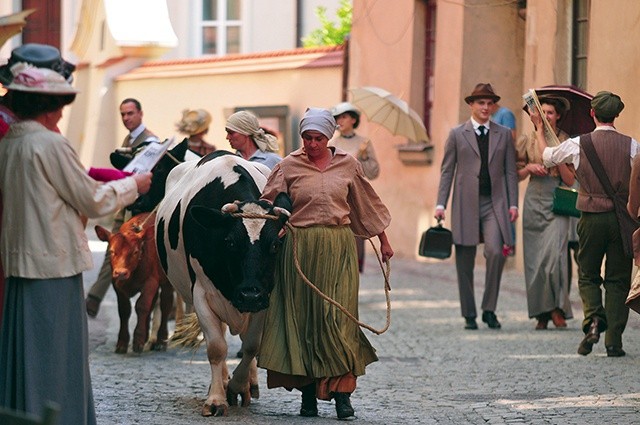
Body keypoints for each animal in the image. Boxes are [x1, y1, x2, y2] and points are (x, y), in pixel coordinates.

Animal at [94, 210, 174, 352]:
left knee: (165, 305)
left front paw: (138, 340)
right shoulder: (117, 285)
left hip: (167, 281)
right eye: (112, 251)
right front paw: (122, 342)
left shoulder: (151, 282)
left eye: (136, 252)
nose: (121, 272)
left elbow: (141, 306)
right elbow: (124, 310)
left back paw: (161, 340)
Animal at [156, 152, 292, 414]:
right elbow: (217, 348)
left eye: (275, 245)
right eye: (229, 242)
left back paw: (249, 384)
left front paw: (238, 385)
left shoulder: (265, 296)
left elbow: (251, 345)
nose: (249, 295)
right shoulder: (201, 294)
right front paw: (217, 398)